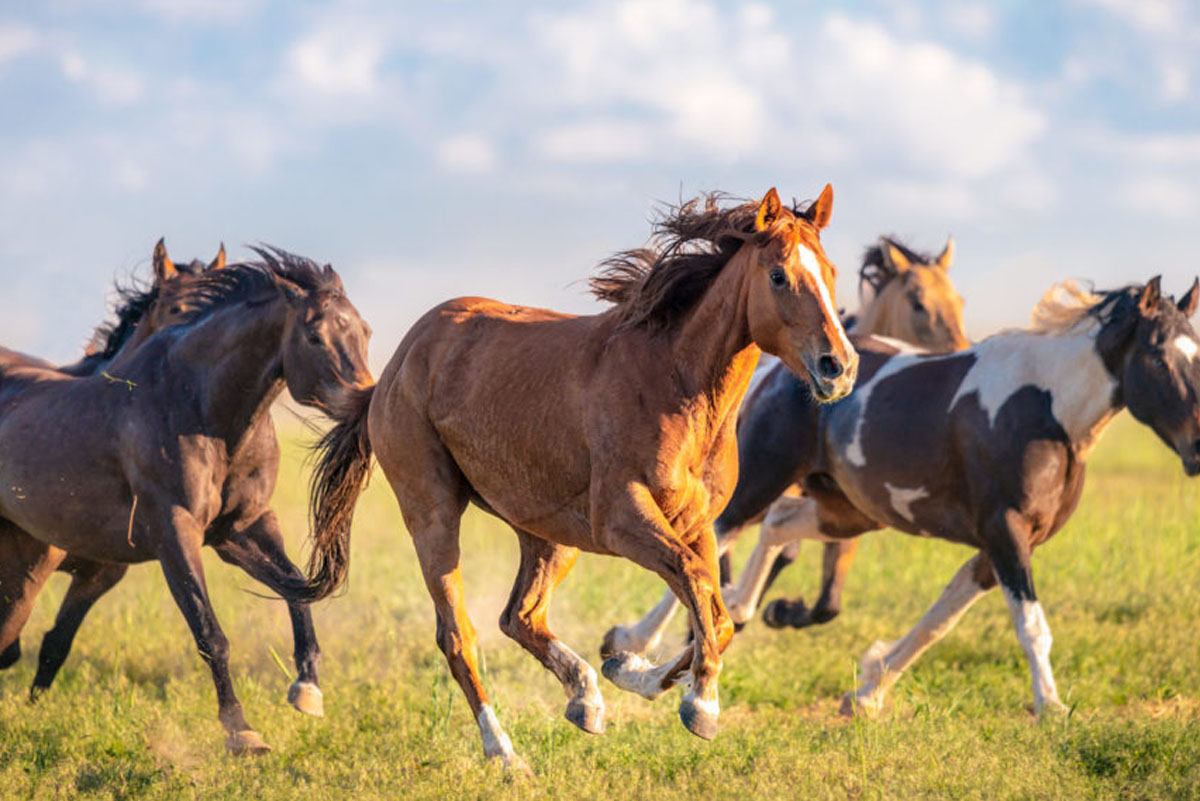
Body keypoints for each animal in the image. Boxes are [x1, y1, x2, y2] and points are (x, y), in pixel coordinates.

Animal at [0, 250, 369, 753]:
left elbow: (296, 587)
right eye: (314, 335)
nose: (367, 399)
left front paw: (307, 690)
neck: (200, 410)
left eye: (365, 331)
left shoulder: (241, 527)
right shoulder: (174, 532)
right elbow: (209, 631)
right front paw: (241, 731)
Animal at [288, 185, 854, 767]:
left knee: (520, 616)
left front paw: (629, 669)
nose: (838, 366)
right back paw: (505, 753)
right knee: (458, 635)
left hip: (549, 534)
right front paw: (701, 706)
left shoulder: (698, 525)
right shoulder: (622, 520)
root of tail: (396, 366)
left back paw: (586, 699)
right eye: (779, 275)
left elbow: (714, 614)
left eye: (831, 271)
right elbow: (698, 588)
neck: (675, 386)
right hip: (433, 514)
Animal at [604, 231, 969, 657]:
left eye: (959, 301)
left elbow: (826, 600)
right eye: (918, 303)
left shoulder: (841, 506)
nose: (960, 352)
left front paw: (779, 610)